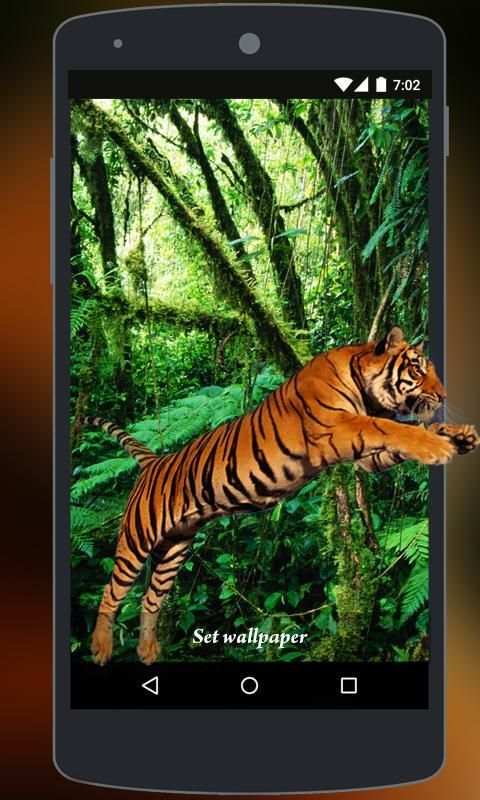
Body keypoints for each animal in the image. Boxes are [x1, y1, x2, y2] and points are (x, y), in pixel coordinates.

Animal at [82, 326, 479, 665]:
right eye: (417, 368)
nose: (443, 396)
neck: (363, 385)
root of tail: (155, 462)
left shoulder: (366, 457)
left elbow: (406, 430)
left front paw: (460, 434)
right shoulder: (339, 430)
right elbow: (390, 426)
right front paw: (436, 447)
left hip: (174, 549)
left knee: (151, 599)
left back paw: (148, 651)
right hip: (137, 541)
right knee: (111, 592)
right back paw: (100, 648)